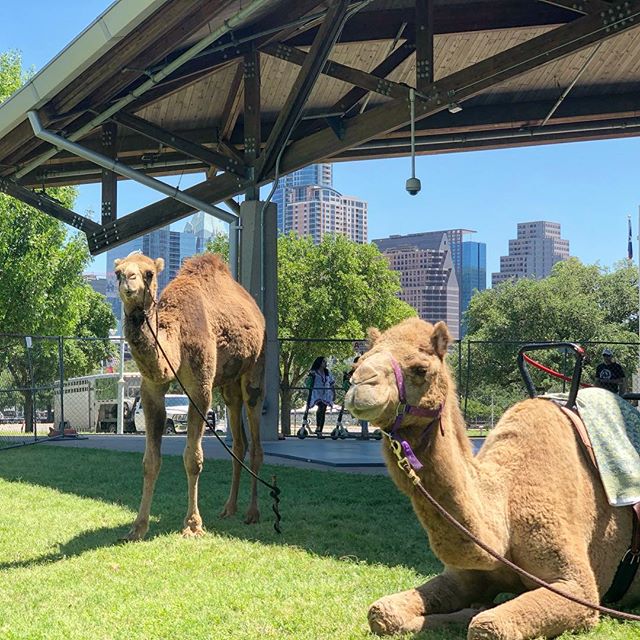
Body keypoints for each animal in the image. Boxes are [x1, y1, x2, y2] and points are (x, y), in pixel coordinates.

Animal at [114, 250, 264, 540]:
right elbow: (150, 461)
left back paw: (252, 513)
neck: (175, 336)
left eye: (149, 273)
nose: (128, 281)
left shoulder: (200, 387)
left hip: (255, 368)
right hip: (228, 384)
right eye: (118, 272)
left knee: (255, 433)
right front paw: (137, 527)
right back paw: (229, 508)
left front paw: (193, 525)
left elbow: (192, 458)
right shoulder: (152, 388)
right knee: (239, 440)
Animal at [344, 318, 640, 640]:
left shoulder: (578, 587)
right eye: (359, 360)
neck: (505, 502)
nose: (360, 384)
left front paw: (476, 612)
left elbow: (487, 626)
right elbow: (382, 612)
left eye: (421, 369)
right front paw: (470, 609)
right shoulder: (464, 576)